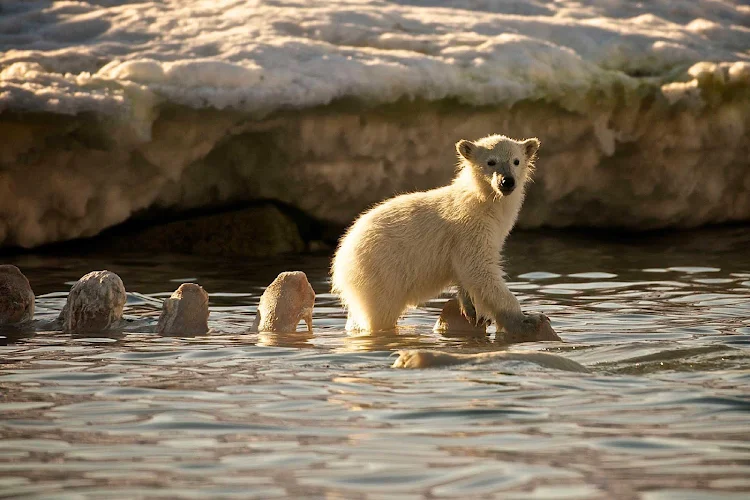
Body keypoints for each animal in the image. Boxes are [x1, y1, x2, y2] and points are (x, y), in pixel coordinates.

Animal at [331, 134, 556, 339]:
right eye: (491, 161)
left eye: (516, 161)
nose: (507, 181)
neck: (481, 201)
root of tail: (340, 261)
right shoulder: (470, 228)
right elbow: (479, 269)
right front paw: (528, 320)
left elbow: (466, 272)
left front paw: (473, 312)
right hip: (379, 272)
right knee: (380, 312)